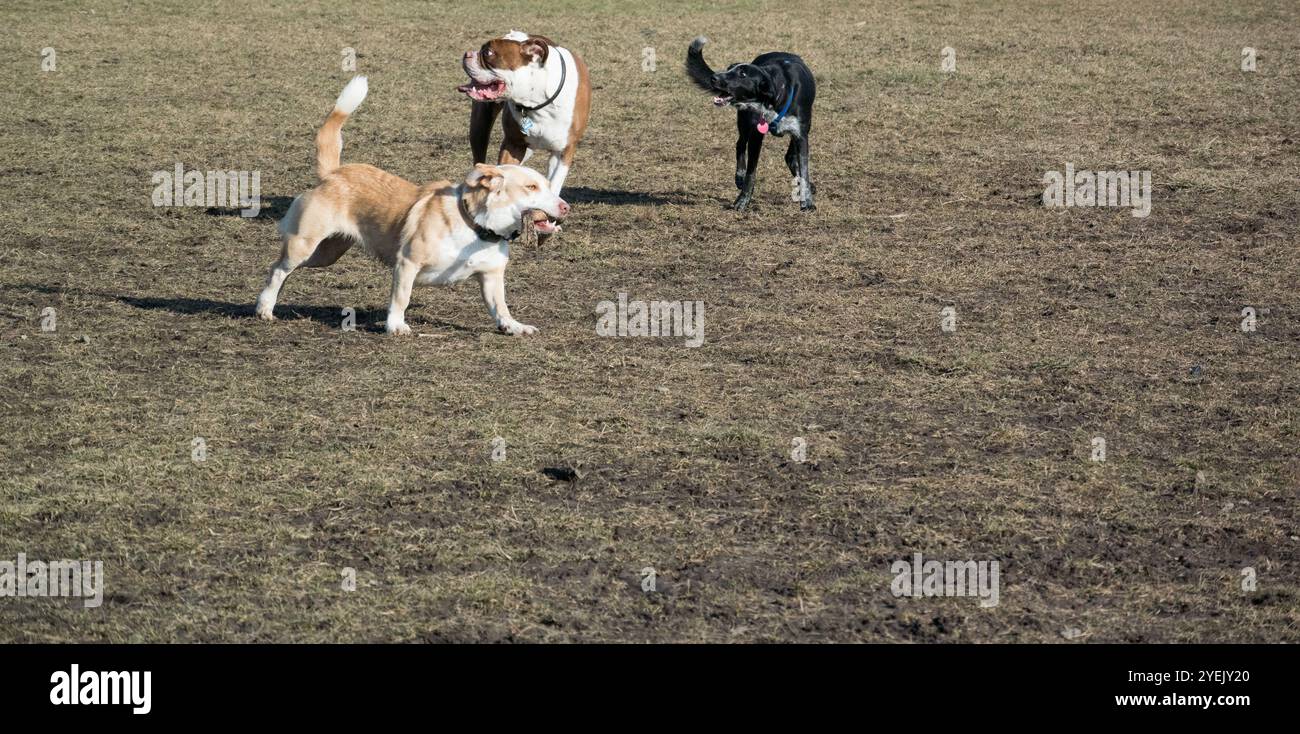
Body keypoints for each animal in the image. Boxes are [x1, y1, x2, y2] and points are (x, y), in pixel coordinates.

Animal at [253, 75, 569, 335]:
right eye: (531, 187)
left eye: (547, 185)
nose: (565, 207)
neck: (476, 227)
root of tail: (333, 173)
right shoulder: (407, 263)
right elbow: (401, 297)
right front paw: (396, 326)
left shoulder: (491, 276)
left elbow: (499, 306)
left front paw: (513, 326)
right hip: (304, 244)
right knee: (277, 268)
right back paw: (264, 308)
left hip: (327, 252)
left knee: (284, 268)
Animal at [460, 30, 592, 194]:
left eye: (488, 52)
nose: (467, 54)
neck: (537, 102)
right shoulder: (512, 145)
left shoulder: (564, 151)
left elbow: (554, 184)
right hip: (480, 127)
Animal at [691, 35, 811, 210]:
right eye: (729, 69)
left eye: (742, 74)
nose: (714, 78)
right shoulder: (756, 134)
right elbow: (751, 172)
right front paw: (742, 200)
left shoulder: (801, 134)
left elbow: (804, 169)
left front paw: (807, 202)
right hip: (744, 121)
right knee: (740, 144)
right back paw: (739, 176)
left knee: (789, 156)